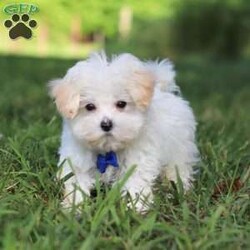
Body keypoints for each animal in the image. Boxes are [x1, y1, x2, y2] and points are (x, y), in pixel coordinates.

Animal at [47, 51, 198, 212]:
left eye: (121, 104)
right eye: (89, 106)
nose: (106, 124)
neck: (108, 149)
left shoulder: (138, 160)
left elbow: (136, 182)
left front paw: (136, 207)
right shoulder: (77, 160)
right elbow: (76, 182)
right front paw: (74, 207)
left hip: (180, 148)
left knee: (178, 167)